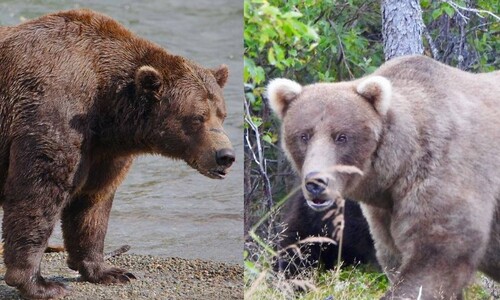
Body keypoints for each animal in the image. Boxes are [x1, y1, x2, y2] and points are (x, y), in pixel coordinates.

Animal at [0, 9, 234, 300]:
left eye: (222, 114)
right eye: (197, 117)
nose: (225, 155)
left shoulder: (103, 151)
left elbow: (92, 202)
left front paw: (108, 271)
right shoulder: (51, 111)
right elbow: (38, 192)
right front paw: (40, 283)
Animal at [268, 55, 500, 298]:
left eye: (342, 137)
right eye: (304, 135)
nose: (316, 183)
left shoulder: (446, 171)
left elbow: (437, 253)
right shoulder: (383, 214)